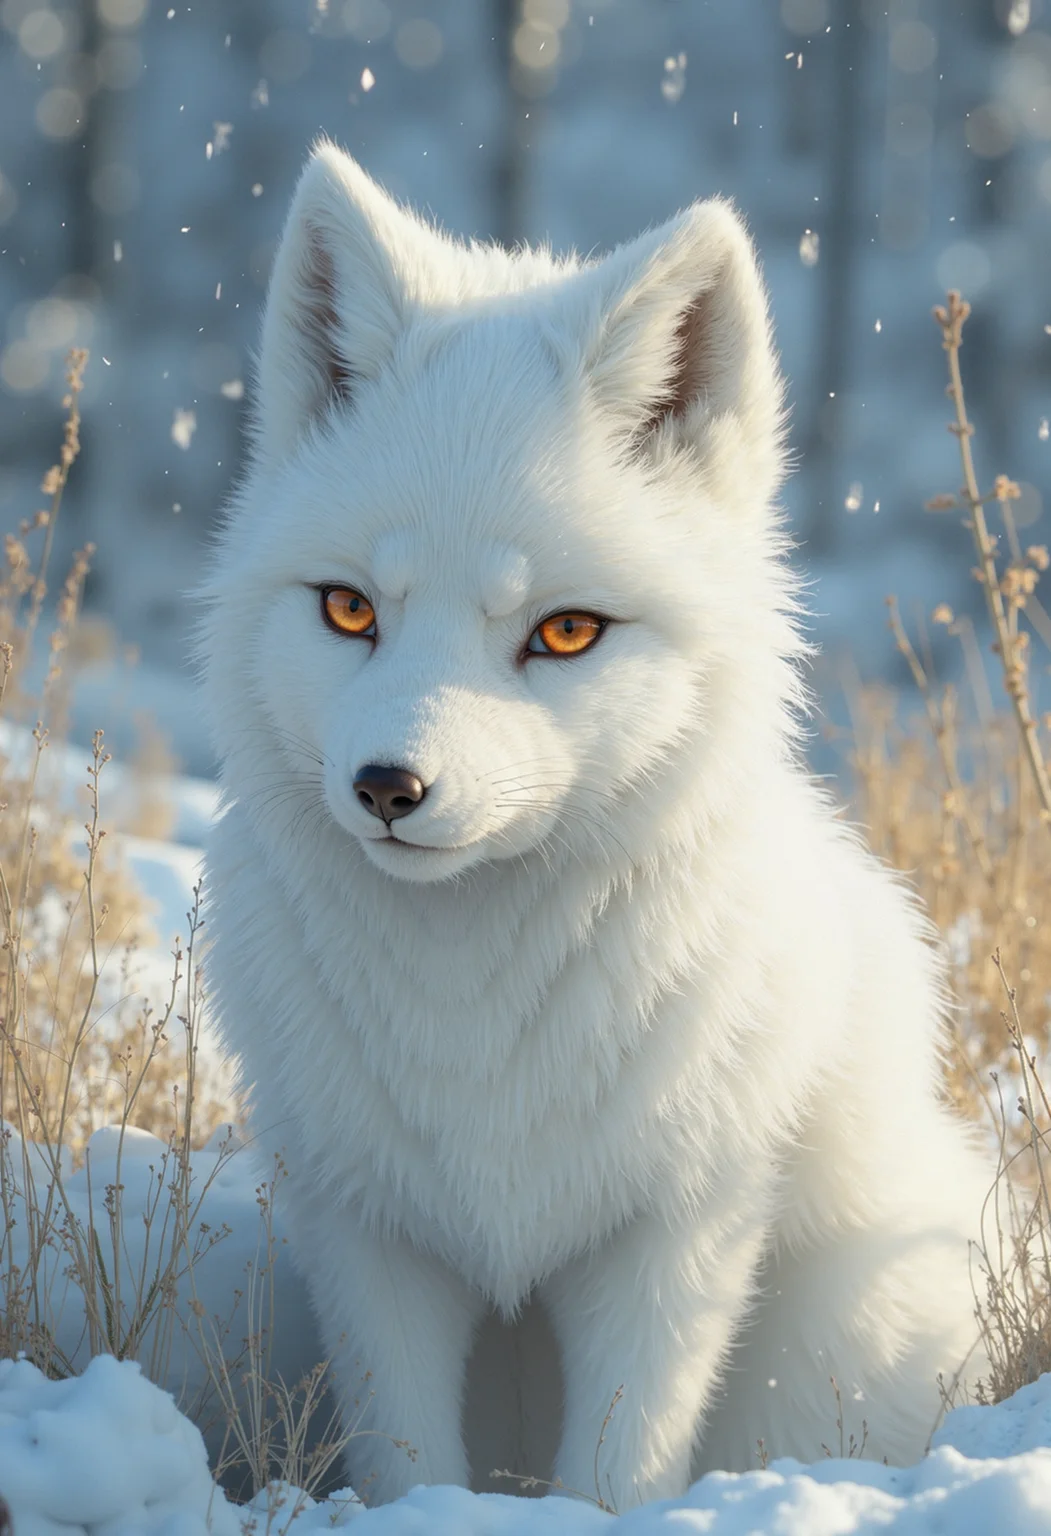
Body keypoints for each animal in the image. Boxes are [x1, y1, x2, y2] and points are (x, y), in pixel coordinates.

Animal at [199, 140, 988, 1508]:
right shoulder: (368, 1236)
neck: (471, 1006)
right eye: (350, 610)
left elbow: (622, 1468)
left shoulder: (677, 1234)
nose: (388, 788)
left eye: (563, 632)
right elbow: (407, 1461)